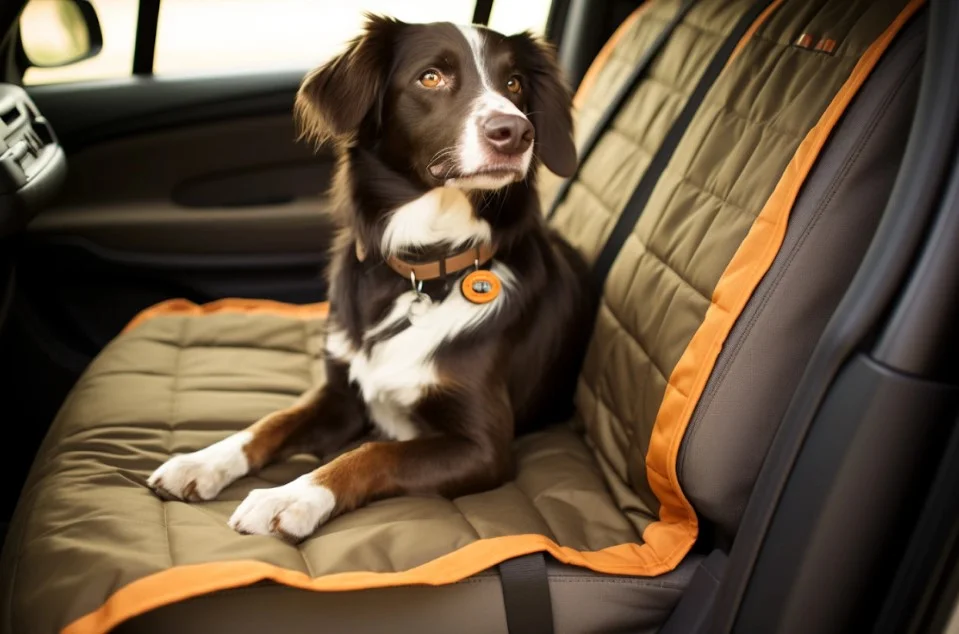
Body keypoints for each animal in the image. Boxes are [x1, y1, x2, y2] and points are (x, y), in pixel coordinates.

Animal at [146, 14, 596, 540]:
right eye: (430, 77)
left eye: (514, 84)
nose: (516, 131)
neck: (423, 269)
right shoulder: (341, 393)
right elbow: (272, 421)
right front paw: (200, 462)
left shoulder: (485, 446)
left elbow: (374, 451)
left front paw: (290, 496)